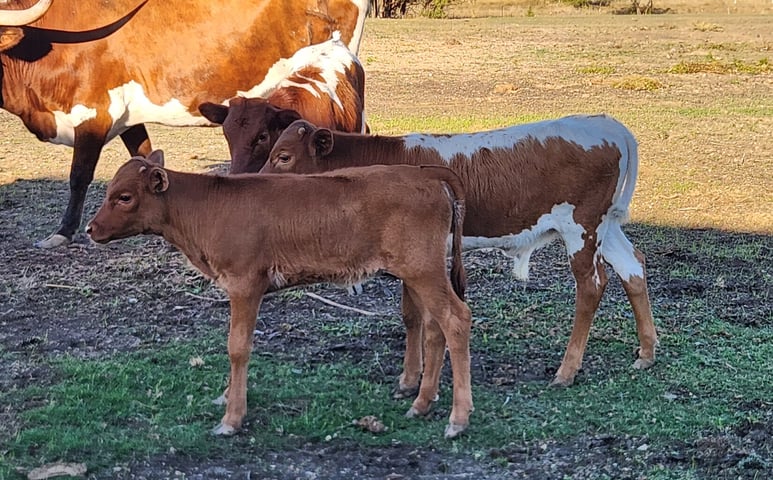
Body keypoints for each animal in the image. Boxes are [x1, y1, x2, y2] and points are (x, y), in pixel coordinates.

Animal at [84, 150, 470, 438]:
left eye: (124, 197)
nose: (90, 228)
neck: (205, 209)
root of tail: (423, 174)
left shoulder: (244, 284)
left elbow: (238, 347)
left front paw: (232, 418)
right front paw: (226, 397)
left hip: (423, 269)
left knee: (456, 319)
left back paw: (457, 418)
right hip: (418, 272)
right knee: (432, 327)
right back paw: (421, 400)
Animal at [260, 116, 656, 390]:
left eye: (283, 156)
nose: (257, 178)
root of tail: (606, 123)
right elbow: (412, 315)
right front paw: (411, 377)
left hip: (581, 227)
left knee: (591, 285)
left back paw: (567, 370)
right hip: (605, 226)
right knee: (633, 266)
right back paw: (647, 353)